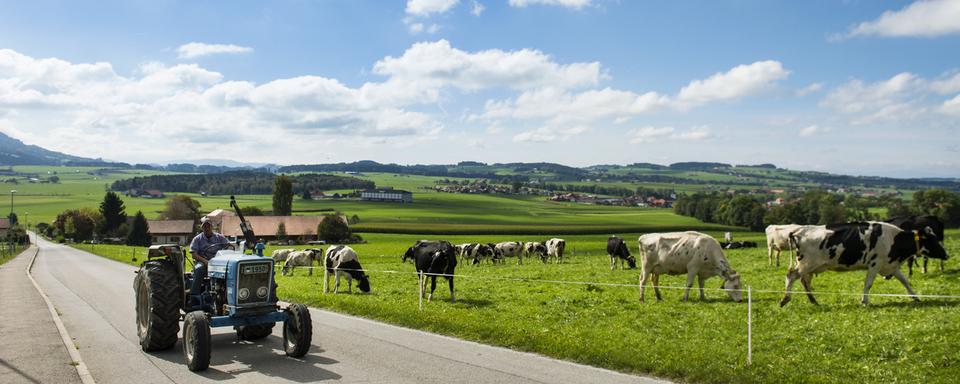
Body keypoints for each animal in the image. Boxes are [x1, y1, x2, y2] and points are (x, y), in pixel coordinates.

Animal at [784, 222, 948, 306]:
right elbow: (868, 284)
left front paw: (915, 297)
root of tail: (799, 230)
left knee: (804, 281)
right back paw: (785, 299)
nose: (947, 255)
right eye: (933, 240)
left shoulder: (891, 265)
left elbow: (905, 281)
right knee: (792, 276)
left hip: (810, 267)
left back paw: (813, 301)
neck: (893, 239)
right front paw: (864, 301)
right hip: (806, 263)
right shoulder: (875, 263)